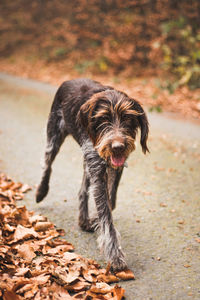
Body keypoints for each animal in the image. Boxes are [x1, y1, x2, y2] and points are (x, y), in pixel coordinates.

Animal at [36, 78, 148, 270]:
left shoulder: (113, 166)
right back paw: (41, 191)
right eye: (103, 118)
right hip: (54, 136)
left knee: (83, 189)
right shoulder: (97, 167)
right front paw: (115, 255)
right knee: (47, 164)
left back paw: (84, 220)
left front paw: (95, 220)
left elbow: (111, 200)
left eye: (128, 118)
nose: (118, 147)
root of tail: (68, 80)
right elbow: (106, 214)